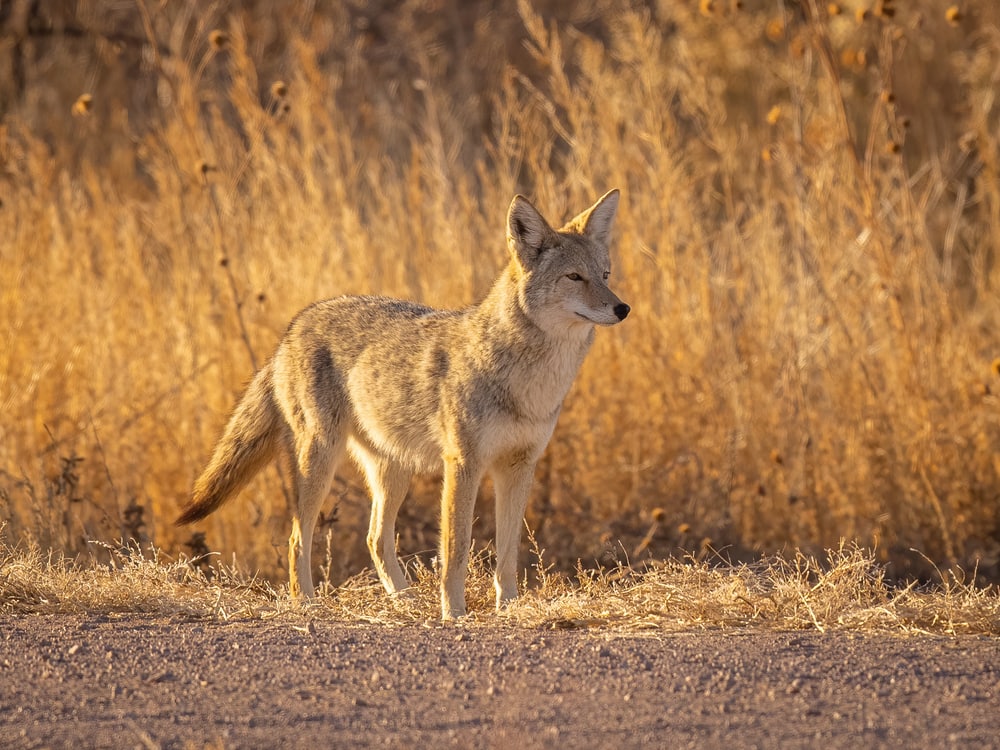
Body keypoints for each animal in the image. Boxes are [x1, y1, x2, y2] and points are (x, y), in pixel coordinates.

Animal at [176, 189, 629, 619]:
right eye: (575, 277)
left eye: (605, 275)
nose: (622, 308)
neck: (531, 382)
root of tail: (292, 329)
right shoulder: (463, 464)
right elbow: (456, 550)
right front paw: (453, 613)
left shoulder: (518, 466)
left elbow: (508, 553)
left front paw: (510, 608)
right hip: (321, 461)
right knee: (296, 537)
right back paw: (306, 604)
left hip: (392, 470)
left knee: (374, 538)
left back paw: (405, 602)